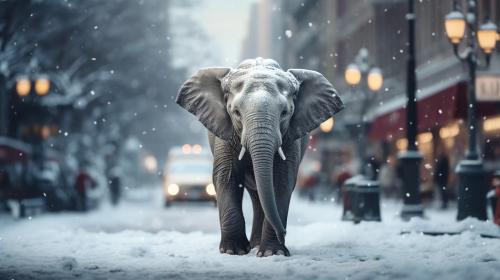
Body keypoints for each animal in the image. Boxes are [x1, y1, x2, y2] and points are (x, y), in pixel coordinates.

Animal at [176, 58, 344, 258]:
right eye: (236, 112)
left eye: (285, 113)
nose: (284, 233)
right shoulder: (225, 135)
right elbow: (226, 178)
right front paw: (233, 251)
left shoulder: (289, 139)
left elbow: (281, 181)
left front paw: (273, 253)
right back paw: (253, 246)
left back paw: (257, 246)